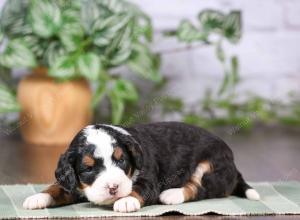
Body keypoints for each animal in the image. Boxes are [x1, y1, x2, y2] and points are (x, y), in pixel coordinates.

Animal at [23, 121, 258, 212]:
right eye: (88, 168)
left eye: (121, 160)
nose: (113, 188)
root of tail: (233, 164)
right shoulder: (72, 182)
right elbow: (57, 187)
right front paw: (37, 197)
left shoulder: (149, 179)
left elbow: (138, 188)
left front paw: (126, 200)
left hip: (211, 166)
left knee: (200, 188)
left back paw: (172, 194)